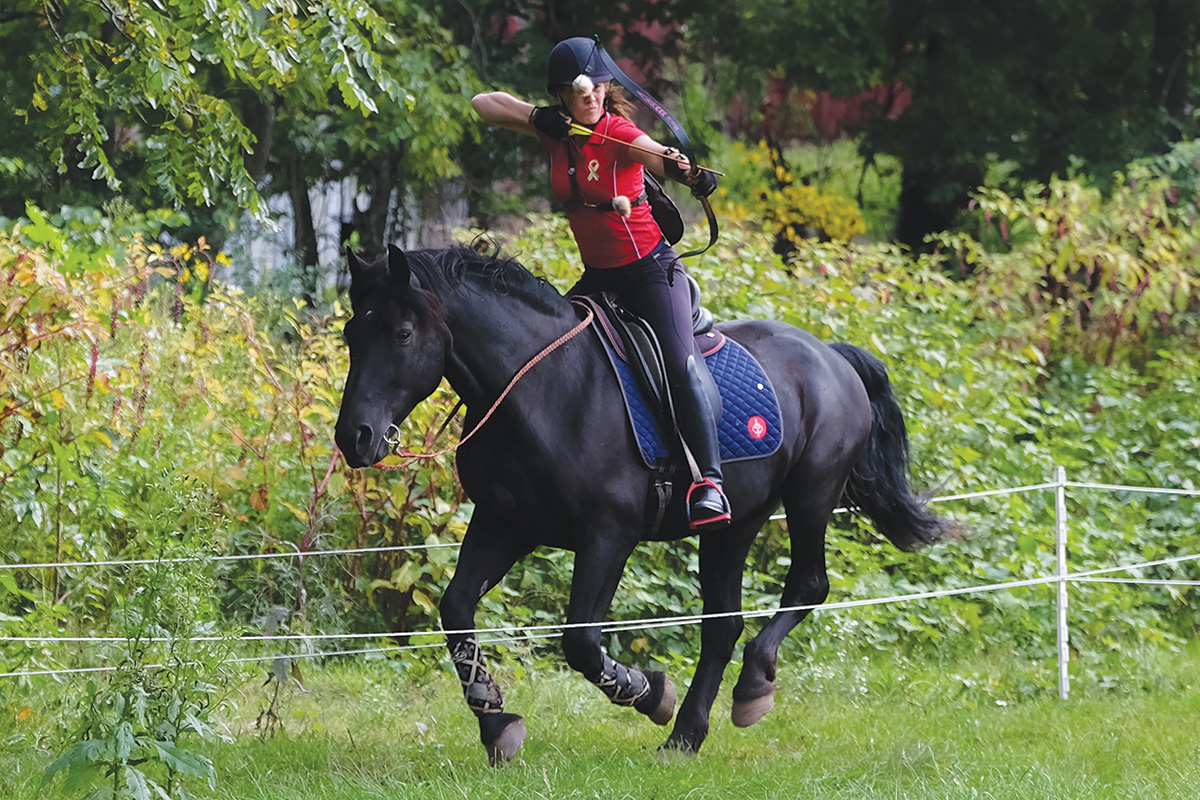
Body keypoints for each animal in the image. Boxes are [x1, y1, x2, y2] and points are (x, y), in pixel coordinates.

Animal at [336, 242, 945, 762]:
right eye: (350, 334)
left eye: (403, 333)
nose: (354, 437)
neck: (543, 388)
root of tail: (830, 355)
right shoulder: (504, 523)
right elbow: (457, 611)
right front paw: (497, 725)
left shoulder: (608, 534)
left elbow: (581, 642)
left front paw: (648, 693)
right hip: (734, 523)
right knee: (722, 623)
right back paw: (686, 737)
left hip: (811, 496)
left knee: (807, 586)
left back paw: (751, 686)